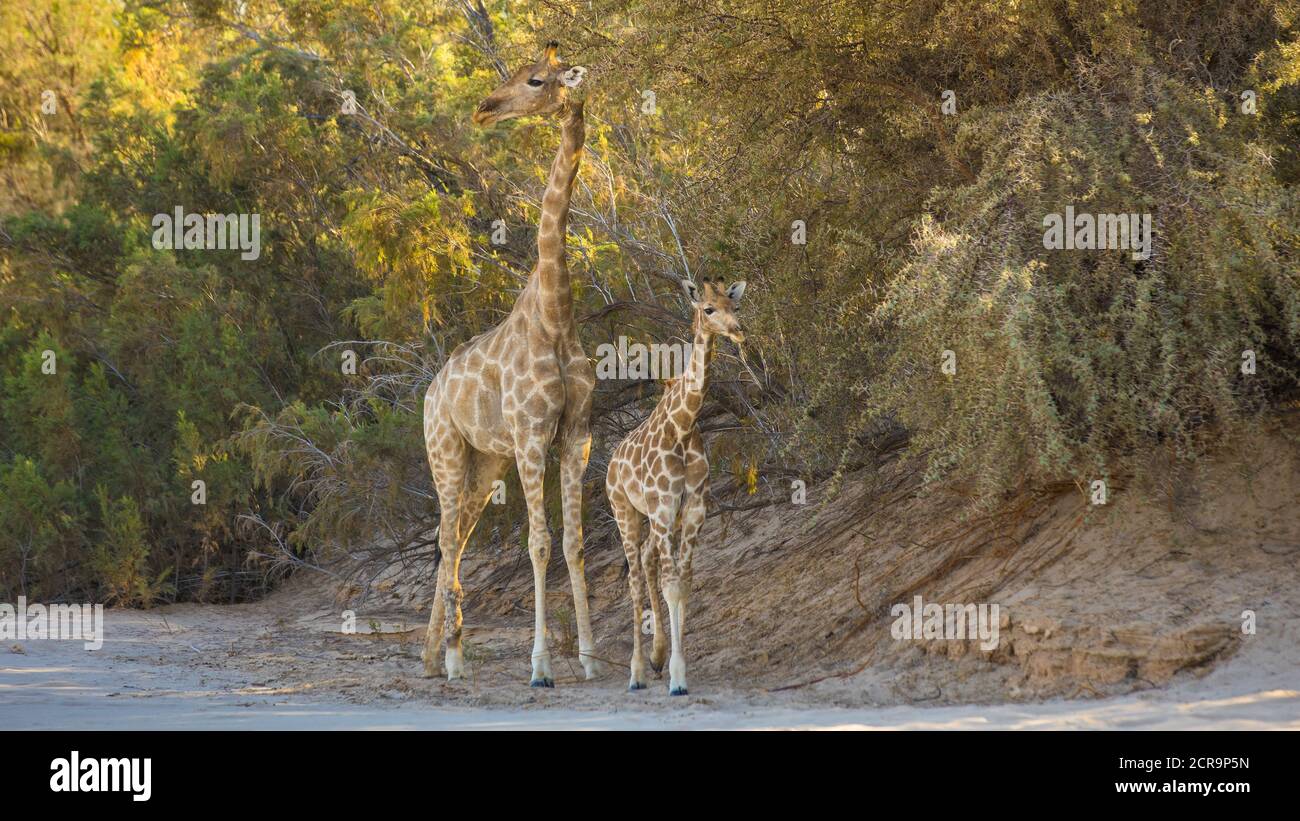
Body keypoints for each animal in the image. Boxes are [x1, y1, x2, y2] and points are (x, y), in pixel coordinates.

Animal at [426, 43, 603, 685]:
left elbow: (573, 543)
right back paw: (452, 659)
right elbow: (538, 543)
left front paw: (590, 657)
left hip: (486, 462)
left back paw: (433, 656)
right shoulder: (531, 436)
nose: (484, 108)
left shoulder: (575, 433)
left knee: (453, 537)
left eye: (536, 80)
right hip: (446, 452)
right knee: (447, 538)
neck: (554, 312)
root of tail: (430, 390)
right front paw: (540, 665)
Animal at [603, 275, 748, 691]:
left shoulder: (694, 507)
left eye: (734, 305)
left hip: (654, 518)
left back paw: (655, 656)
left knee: (647, 561)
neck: (683, 426)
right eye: (708, 309)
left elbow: (683, 583)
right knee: (635, 579)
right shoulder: (665, 506)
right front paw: (677, 678)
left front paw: (675, 667)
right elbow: (671, 584)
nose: (739, 332)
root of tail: (610, 464)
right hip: (626, 512)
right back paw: (636, 671)